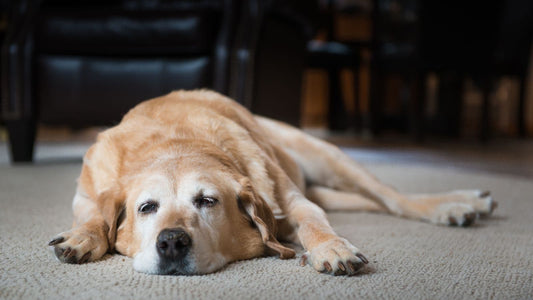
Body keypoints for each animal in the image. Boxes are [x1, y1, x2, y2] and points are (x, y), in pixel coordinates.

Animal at [47, 89, 496, 276]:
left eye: (207, 201)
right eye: (146, 208)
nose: (171, 241)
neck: (176, 142)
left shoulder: (293, 202)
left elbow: (314, 223)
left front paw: (331, 248)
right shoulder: (85, 194)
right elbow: (95, 217)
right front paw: (82, 238)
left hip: (327, 156)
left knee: (392, 198)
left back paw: (455, 205)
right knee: (369, 203)